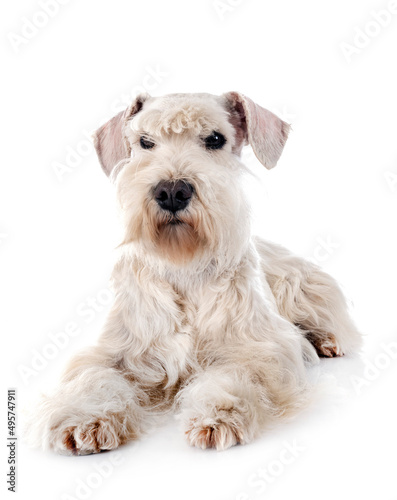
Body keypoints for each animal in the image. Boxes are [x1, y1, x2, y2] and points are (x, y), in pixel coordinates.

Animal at [29, 90, 360, 454]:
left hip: (302, 286)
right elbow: (94, 378)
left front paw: (219, 415)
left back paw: (326, 340)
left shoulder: (259, 348)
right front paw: (85, 418)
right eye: (145, 142)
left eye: (215, 139)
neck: (183, 266)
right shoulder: (114, 351)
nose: (172, 191)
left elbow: (238, 374)